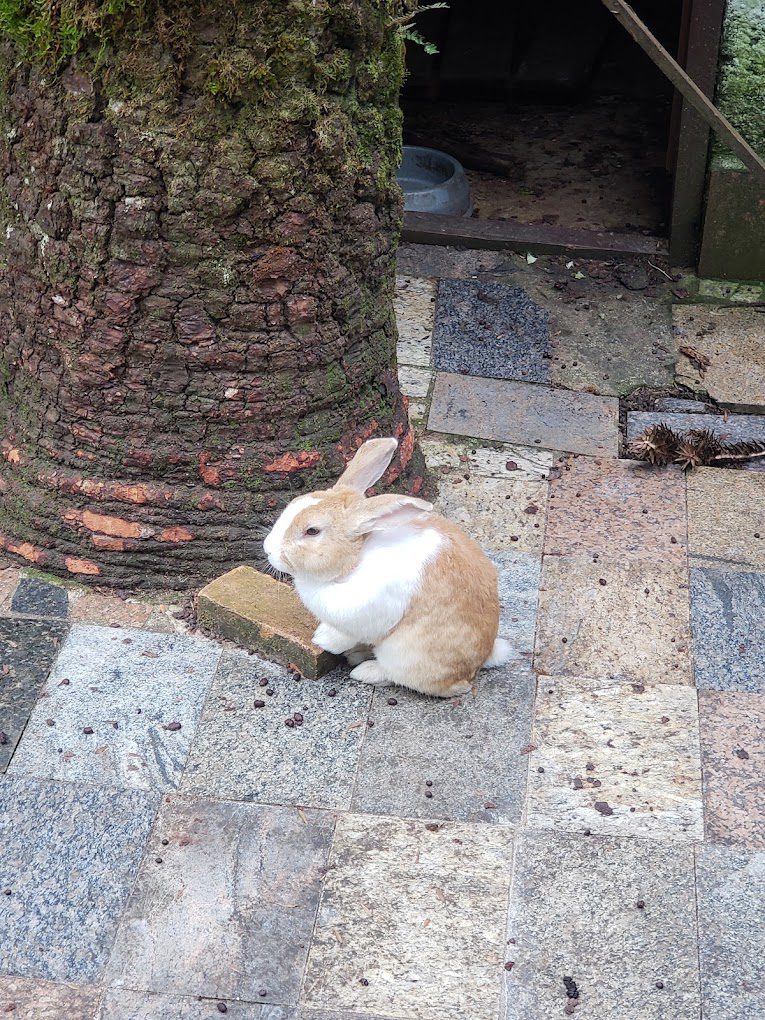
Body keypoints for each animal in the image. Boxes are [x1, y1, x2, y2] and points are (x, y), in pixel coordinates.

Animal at [265, 434, 516, 697]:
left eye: (312, 531)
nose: (268, 549)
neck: (356, 558)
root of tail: (479, 662)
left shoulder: (365, 615)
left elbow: (344, 634)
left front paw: (321, 640)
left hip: (403, 655)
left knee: (401, 677)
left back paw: (364, 670)